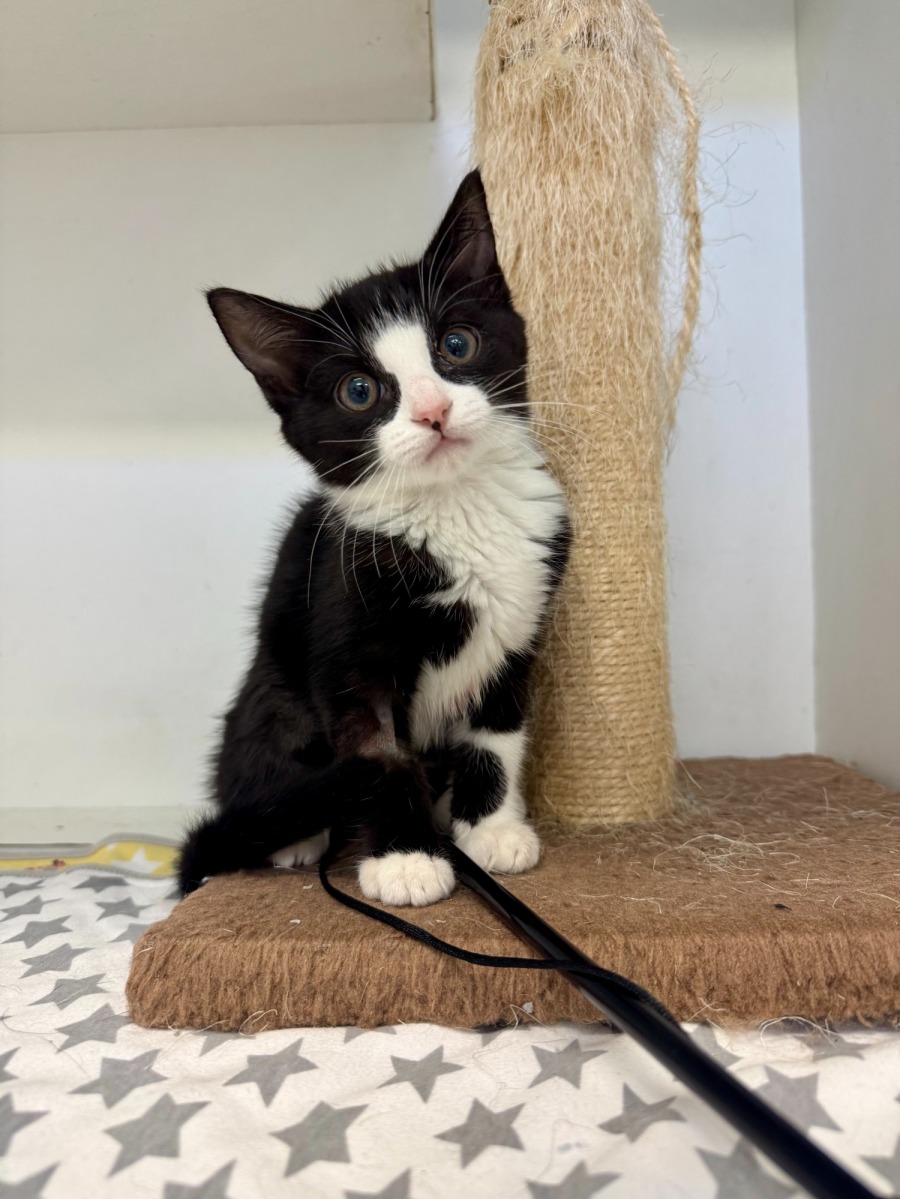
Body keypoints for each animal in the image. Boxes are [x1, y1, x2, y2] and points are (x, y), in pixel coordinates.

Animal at [178, 170, 570, 906]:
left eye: (456, 346)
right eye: (359, 391)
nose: (434, 410)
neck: (457, 512)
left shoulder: (516, 628)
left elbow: (496, 735)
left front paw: (491, 829)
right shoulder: (344, 644)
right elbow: (377, 754)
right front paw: (407, 859)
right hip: (271, 692)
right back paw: (297, 838)